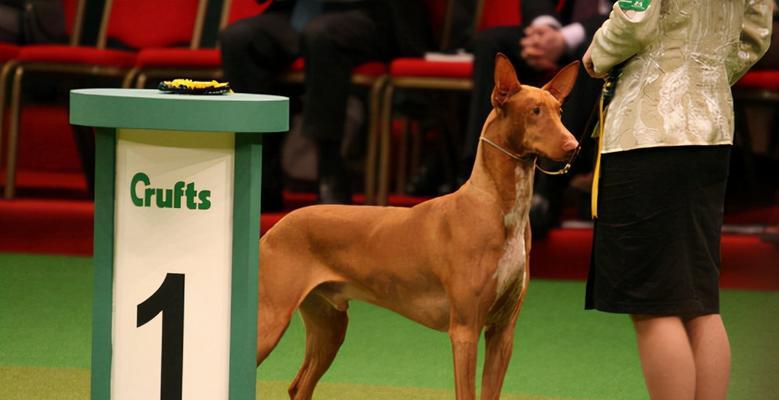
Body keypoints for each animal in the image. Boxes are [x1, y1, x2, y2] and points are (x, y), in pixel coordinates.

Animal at [256, 54, 580, 400]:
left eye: (559, 111)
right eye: (534, 111)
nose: (573, 146)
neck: (496, 207)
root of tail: (277, 225)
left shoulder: (502, 332)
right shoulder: (464, 329)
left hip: (329, 323)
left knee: (298, 385)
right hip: (270, 319)